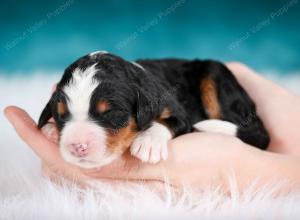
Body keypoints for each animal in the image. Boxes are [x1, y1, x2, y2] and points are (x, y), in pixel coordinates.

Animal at [37, 51, 270, 168]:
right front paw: (50, 129)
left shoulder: (178, 111)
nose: (78, 146)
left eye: (110, 113)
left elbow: (166, 122)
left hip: (215, 76)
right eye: (61, 115)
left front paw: (148, 143)